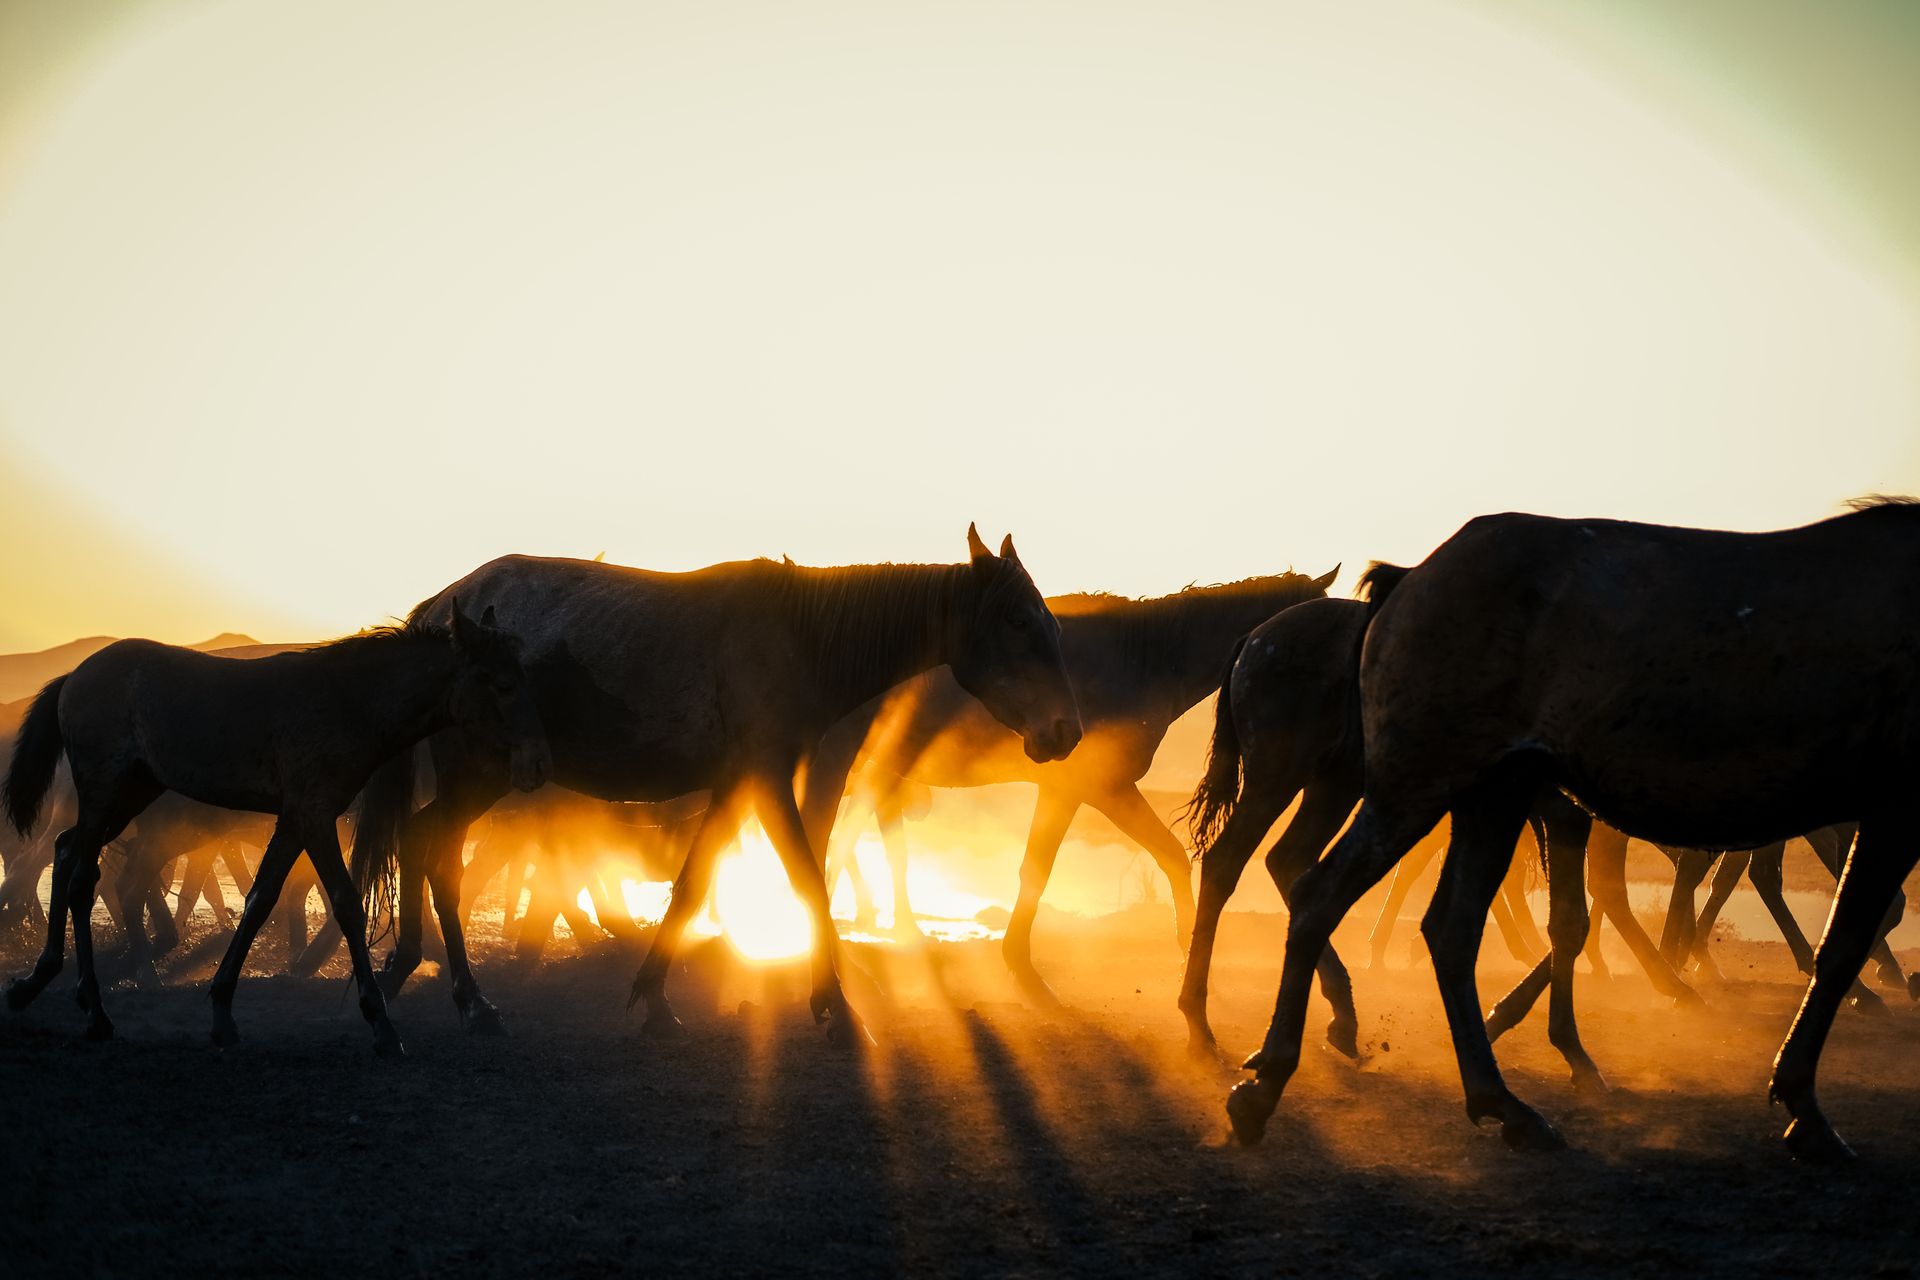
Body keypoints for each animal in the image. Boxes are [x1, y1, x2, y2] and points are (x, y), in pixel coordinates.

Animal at [2, 603, 549, 1052]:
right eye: (502, 684)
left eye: (524, 676)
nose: (537, 764)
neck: (348, 701)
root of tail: (76, 675)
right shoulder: (316, 815)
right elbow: (346, 904)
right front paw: (380, 1023)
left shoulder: (294, 820)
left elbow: (261, 898)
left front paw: (223, 1012)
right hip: (105, 795)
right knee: (81, 874)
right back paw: (93, 1009)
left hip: (133, 794)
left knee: (67, 853)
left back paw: (38, 983)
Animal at [351, 527, 1083, 1045]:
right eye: (1018, 622)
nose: (1067, 731)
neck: (800, 636)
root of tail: (440, 611)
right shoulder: (768, 778)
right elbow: (807, 879)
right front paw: (838, 1009)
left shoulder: (737, 785)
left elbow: (693, 884)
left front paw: (654, 998)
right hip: (482, 772)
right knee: (438, 853)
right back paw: (468, 999)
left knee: (422, 840)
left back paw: (417, 970)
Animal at [796, 570, 1338, 1003]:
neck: (1139, 659)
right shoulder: (1094, 789)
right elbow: (1057, 867)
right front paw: (1026, 971)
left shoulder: (1083, 791)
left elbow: (1154, 858)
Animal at [1224, 502, 1920, 1161]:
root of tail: (1407, 581)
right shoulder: (1891, 806)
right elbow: (1841, 938)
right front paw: (1804, 1104)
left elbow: (1578, 918)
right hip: (1408, 783)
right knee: (1310, 889)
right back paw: (1270, 1075)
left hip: (1483, 793)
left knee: (1441, 923)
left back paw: (1501, 1099)